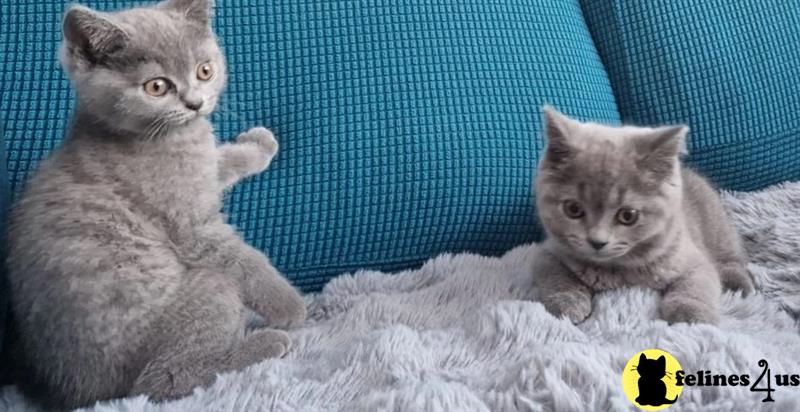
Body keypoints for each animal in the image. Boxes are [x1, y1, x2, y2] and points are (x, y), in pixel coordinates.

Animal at [5, 0, 306, 408]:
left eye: (204, 70)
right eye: (157, 86)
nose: (195, 103)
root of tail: (85, 392)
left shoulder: (201, 171)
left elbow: (222, 160)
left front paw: (259, 144)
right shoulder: (194, 230)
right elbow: (246, 261)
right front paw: (291, 305)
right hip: (207, 292)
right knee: (160, 381)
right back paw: (265, 343)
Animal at [536, 107, 752, 326]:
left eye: (628, 215)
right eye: (573, 209)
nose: (597, 242)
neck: (616, 270)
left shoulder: (693, 259)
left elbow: (696, 284)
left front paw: (690, 315)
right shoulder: (547, 253)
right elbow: (555, 274)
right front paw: (567, 302)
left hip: (716, 223)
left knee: (731, 257)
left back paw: (739, 284)